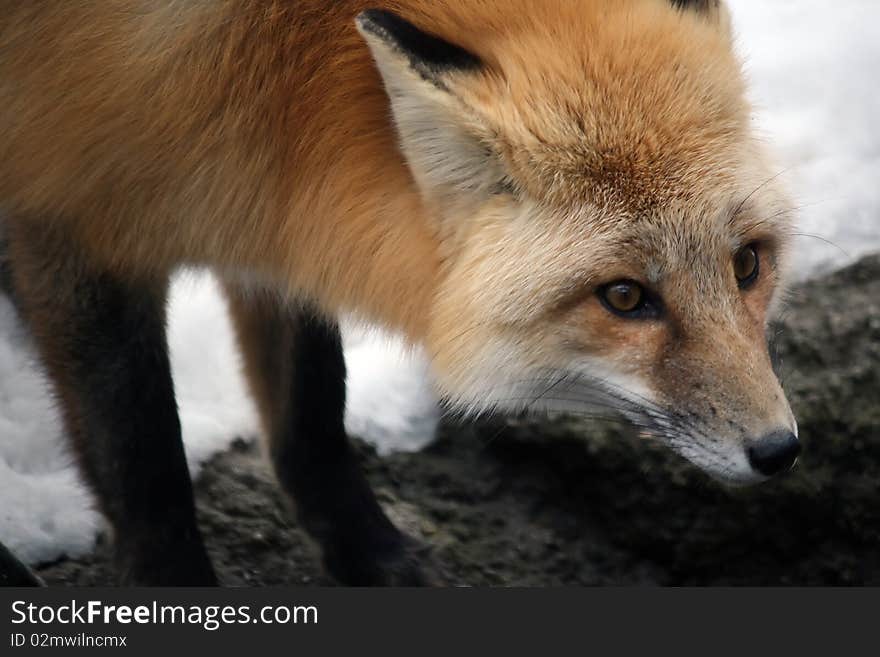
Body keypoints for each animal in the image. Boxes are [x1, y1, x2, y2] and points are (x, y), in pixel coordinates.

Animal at [0, 0, 796, 584]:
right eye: (625, 297)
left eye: (747, 264)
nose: (779, 450)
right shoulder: (68, 221)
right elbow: (141, 454)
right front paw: (173, 587)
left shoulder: (273, 217)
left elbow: (313, 411)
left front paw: (373, 556)